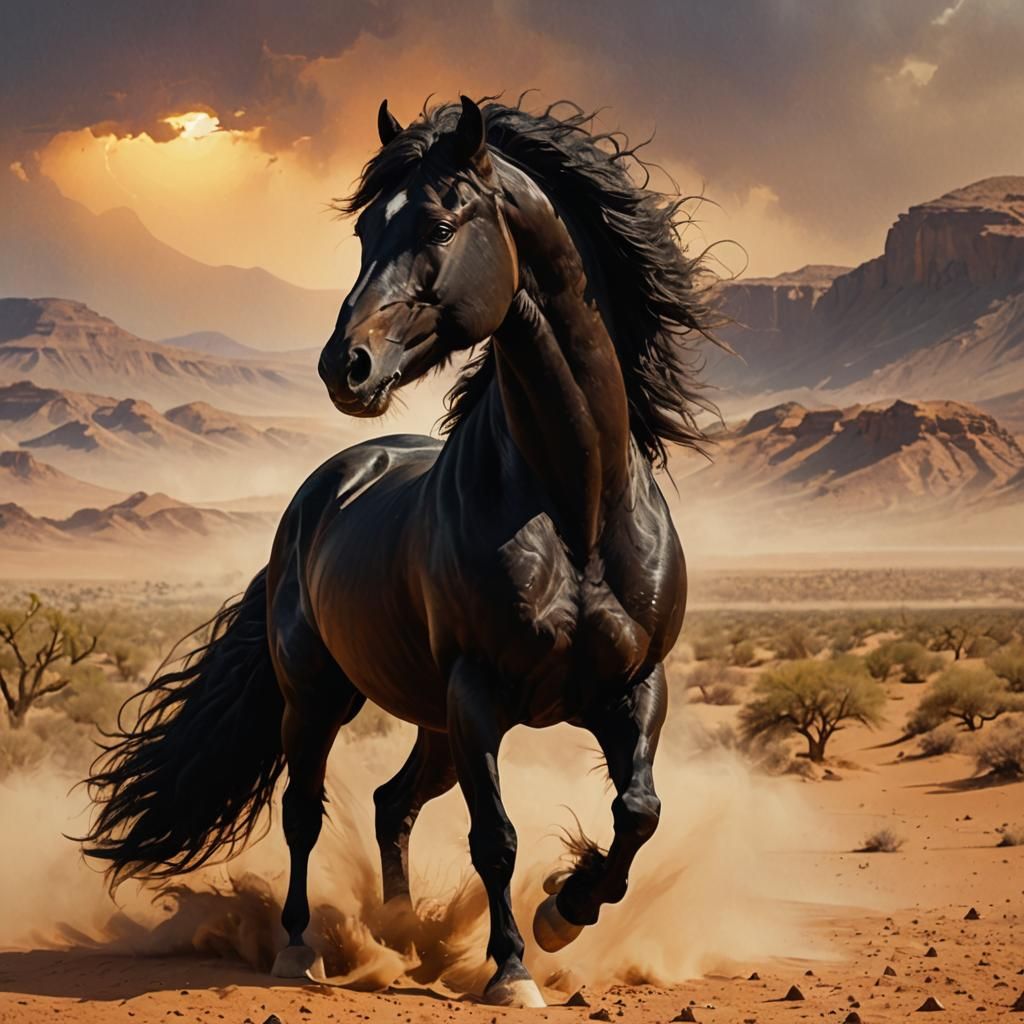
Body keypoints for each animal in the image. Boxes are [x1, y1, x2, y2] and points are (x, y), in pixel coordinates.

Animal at [82, 95, 719, 1008]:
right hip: (321, 696)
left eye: (441, 223)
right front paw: (512, 970)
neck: (577, 508)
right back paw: (302, 949)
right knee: (305, 810)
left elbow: (638, 811)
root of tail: (321, 492)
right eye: (362, 232)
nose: (344, 366)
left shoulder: (633, 685)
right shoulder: (478, 690)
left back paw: (404, 931)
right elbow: (496, 836)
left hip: (434, 723)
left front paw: (566, 911)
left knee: (392, 803)